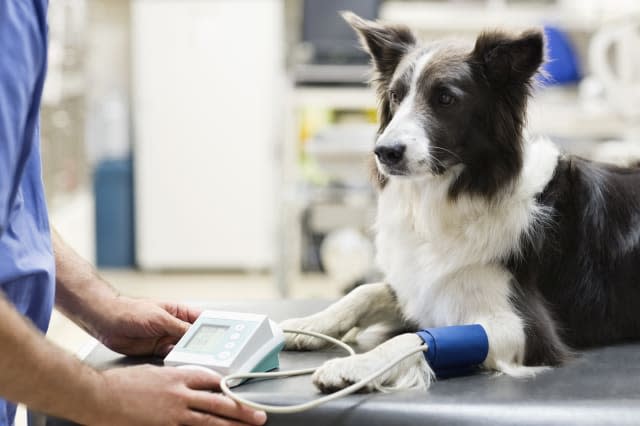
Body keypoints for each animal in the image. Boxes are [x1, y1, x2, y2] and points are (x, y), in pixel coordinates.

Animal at [282, 12, 640, 392]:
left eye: (445, 99)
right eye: (395, 96)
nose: (385, 152)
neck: (457, 195)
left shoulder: (528, 329)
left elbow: (413, 339)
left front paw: (358, 365)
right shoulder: (422, 289)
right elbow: (365, 291)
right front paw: (308, 324)